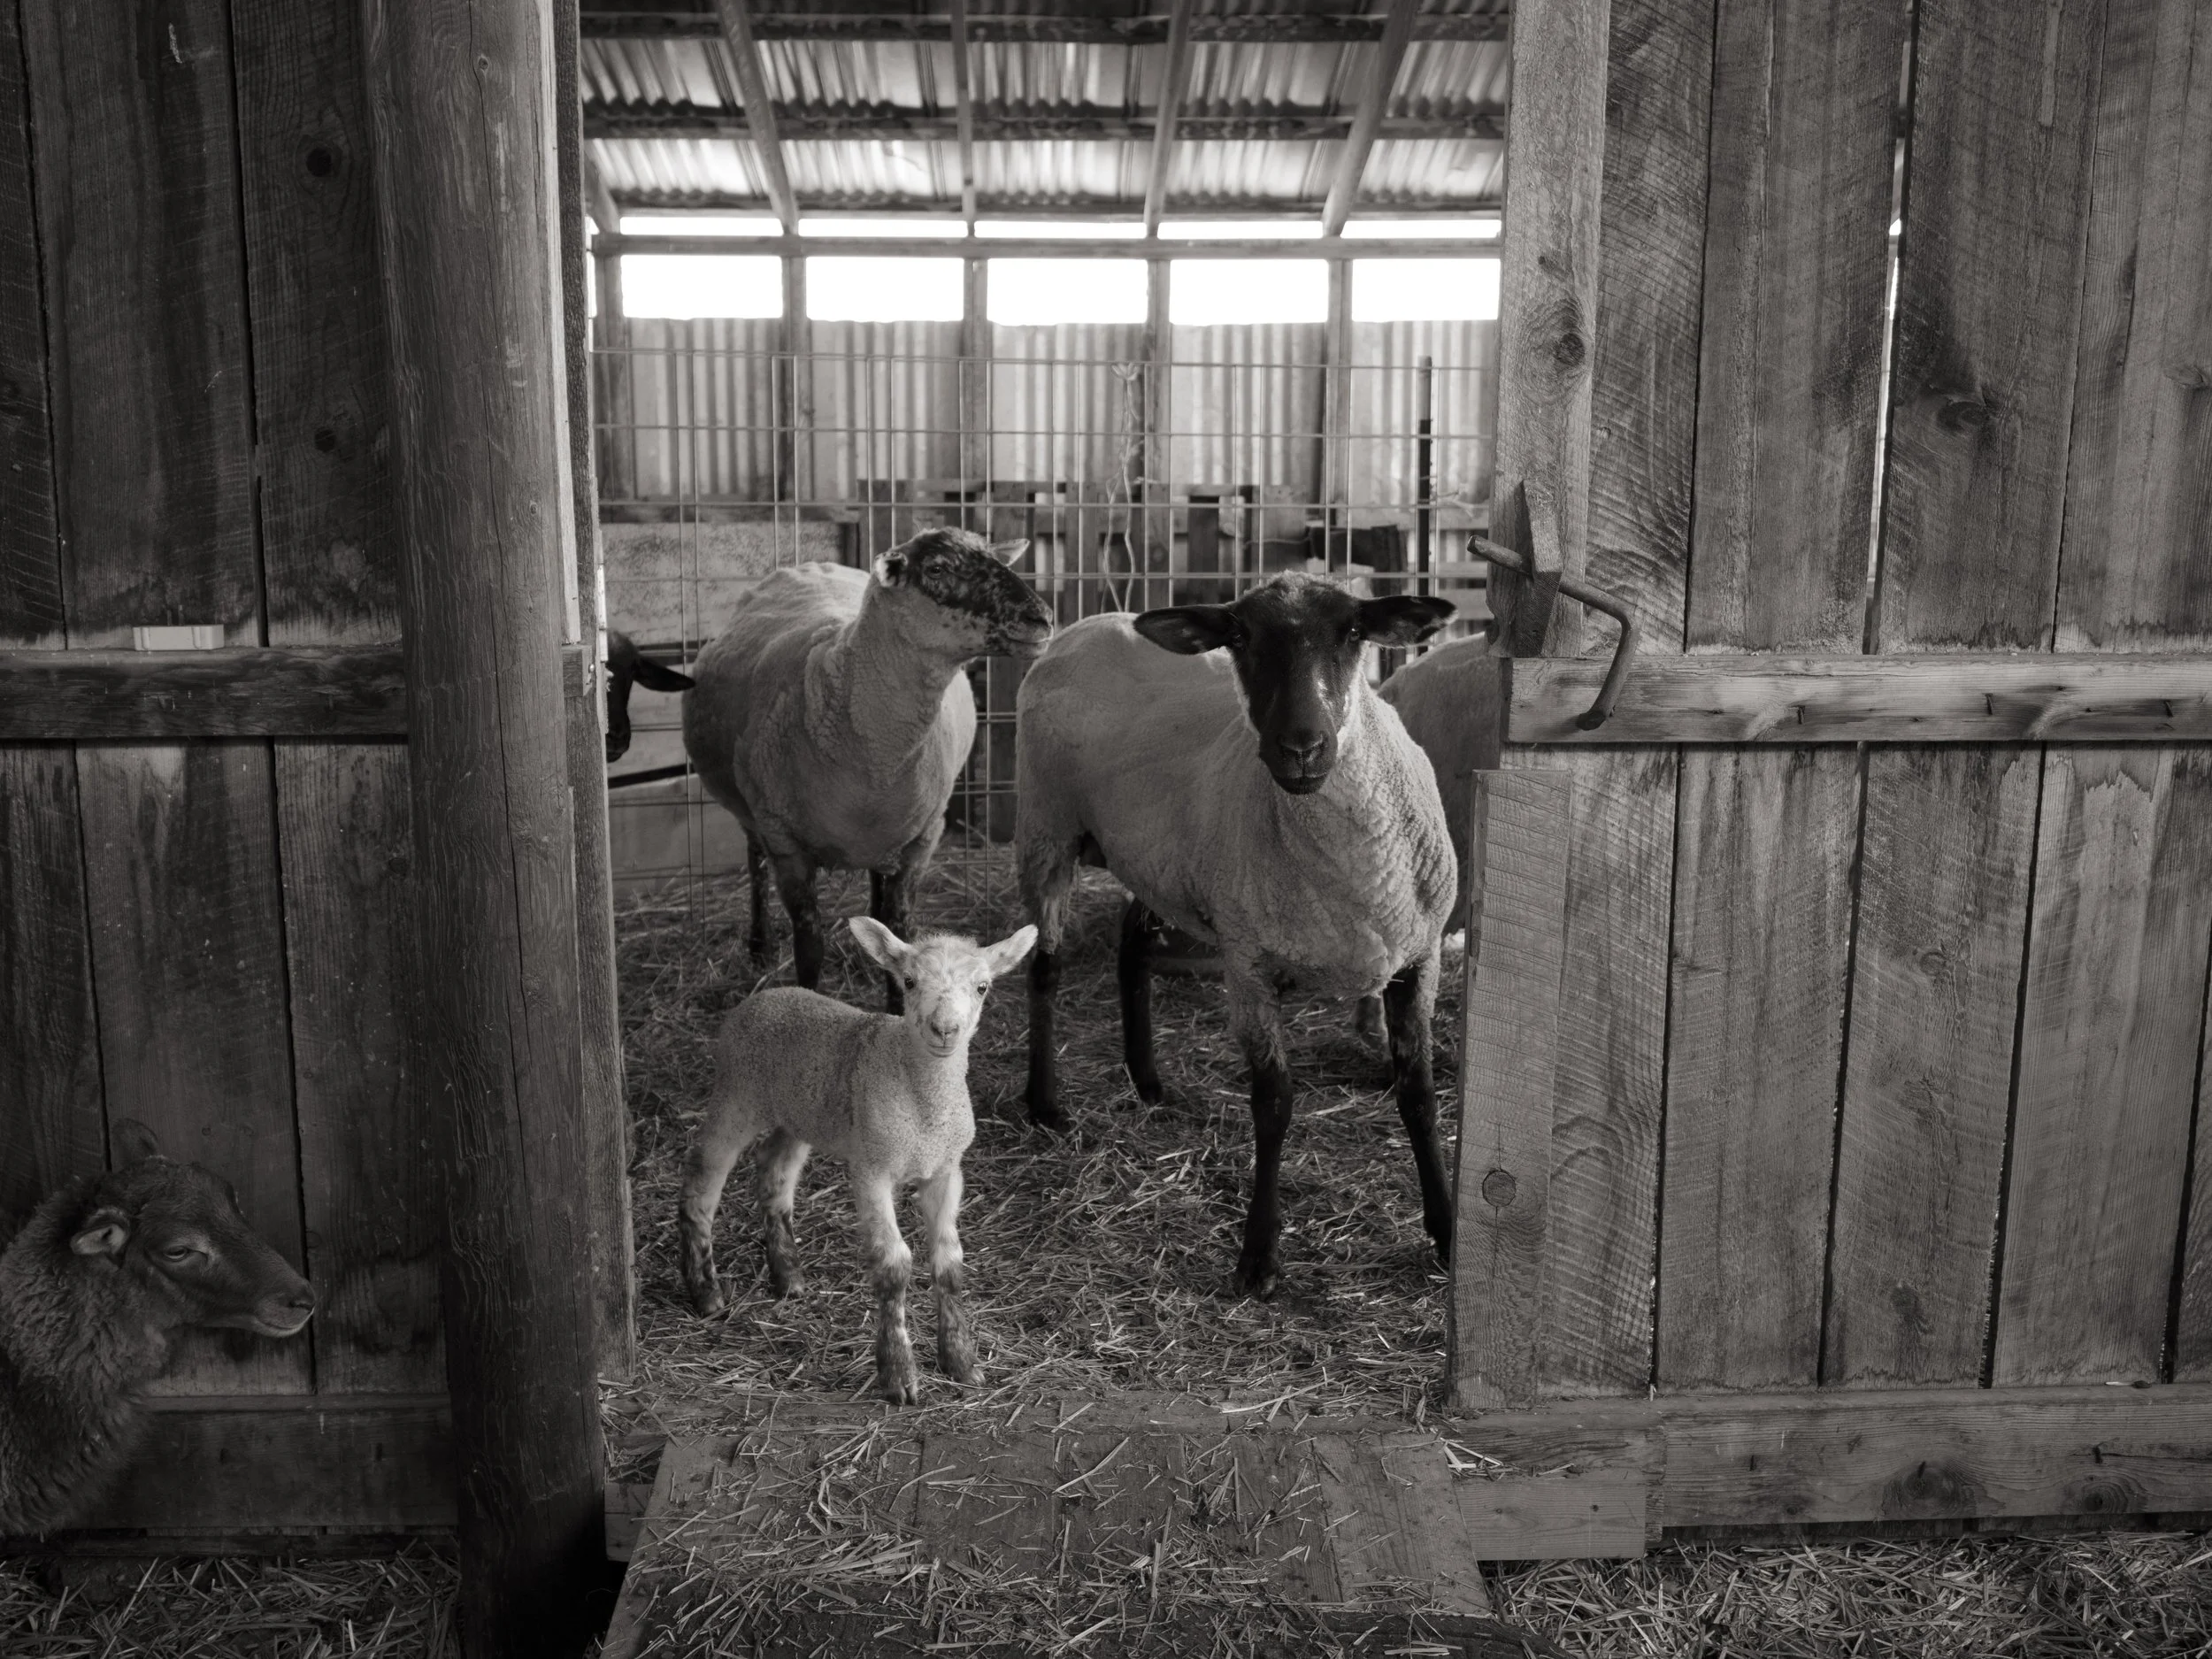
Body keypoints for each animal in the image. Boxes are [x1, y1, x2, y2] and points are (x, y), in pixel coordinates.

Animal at [678, 918, 1037, 1404]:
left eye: (982, 987)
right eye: (909, 982)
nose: (945, 1029)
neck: (923, 1102)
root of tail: (765, 994)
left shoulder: (947, 1169)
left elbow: (949, 1262)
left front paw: (962, 1363)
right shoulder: (872, 1168)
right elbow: (894, 1265)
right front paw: (900, 1376)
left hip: (800, 1114)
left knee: (774, 1170)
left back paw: (788, 1276)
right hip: (736, 1094)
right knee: (703, 1179)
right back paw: (706, 1292)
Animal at [681, 529, 1053, 1010]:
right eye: (936, 568)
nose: (1042, 619)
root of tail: (810, 564)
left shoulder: (919, 841)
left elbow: (901, 933)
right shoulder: (787, 845)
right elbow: (810, 946)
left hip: (888, 839)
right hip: (753, 812)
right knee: (754, 865)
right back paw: (760, 947)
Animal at [1016, 573, 1457, 1299]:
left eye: (1353, 632)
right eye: (1240, 636)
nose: (1300, 748)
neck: (1356, 872)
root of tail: (1090, 622)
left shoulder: (1418, 961)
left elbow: (1419, 1096)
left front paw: (1447, 1234)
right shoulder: (1249, 966)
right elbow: (1273, 1104)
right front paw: (1259, 1259)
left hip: (1155, 859)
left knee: (1131, 947)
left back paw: (1147, 1081)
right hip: (1047, 827)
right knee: (1044, 968)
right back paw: (1046, 1103)